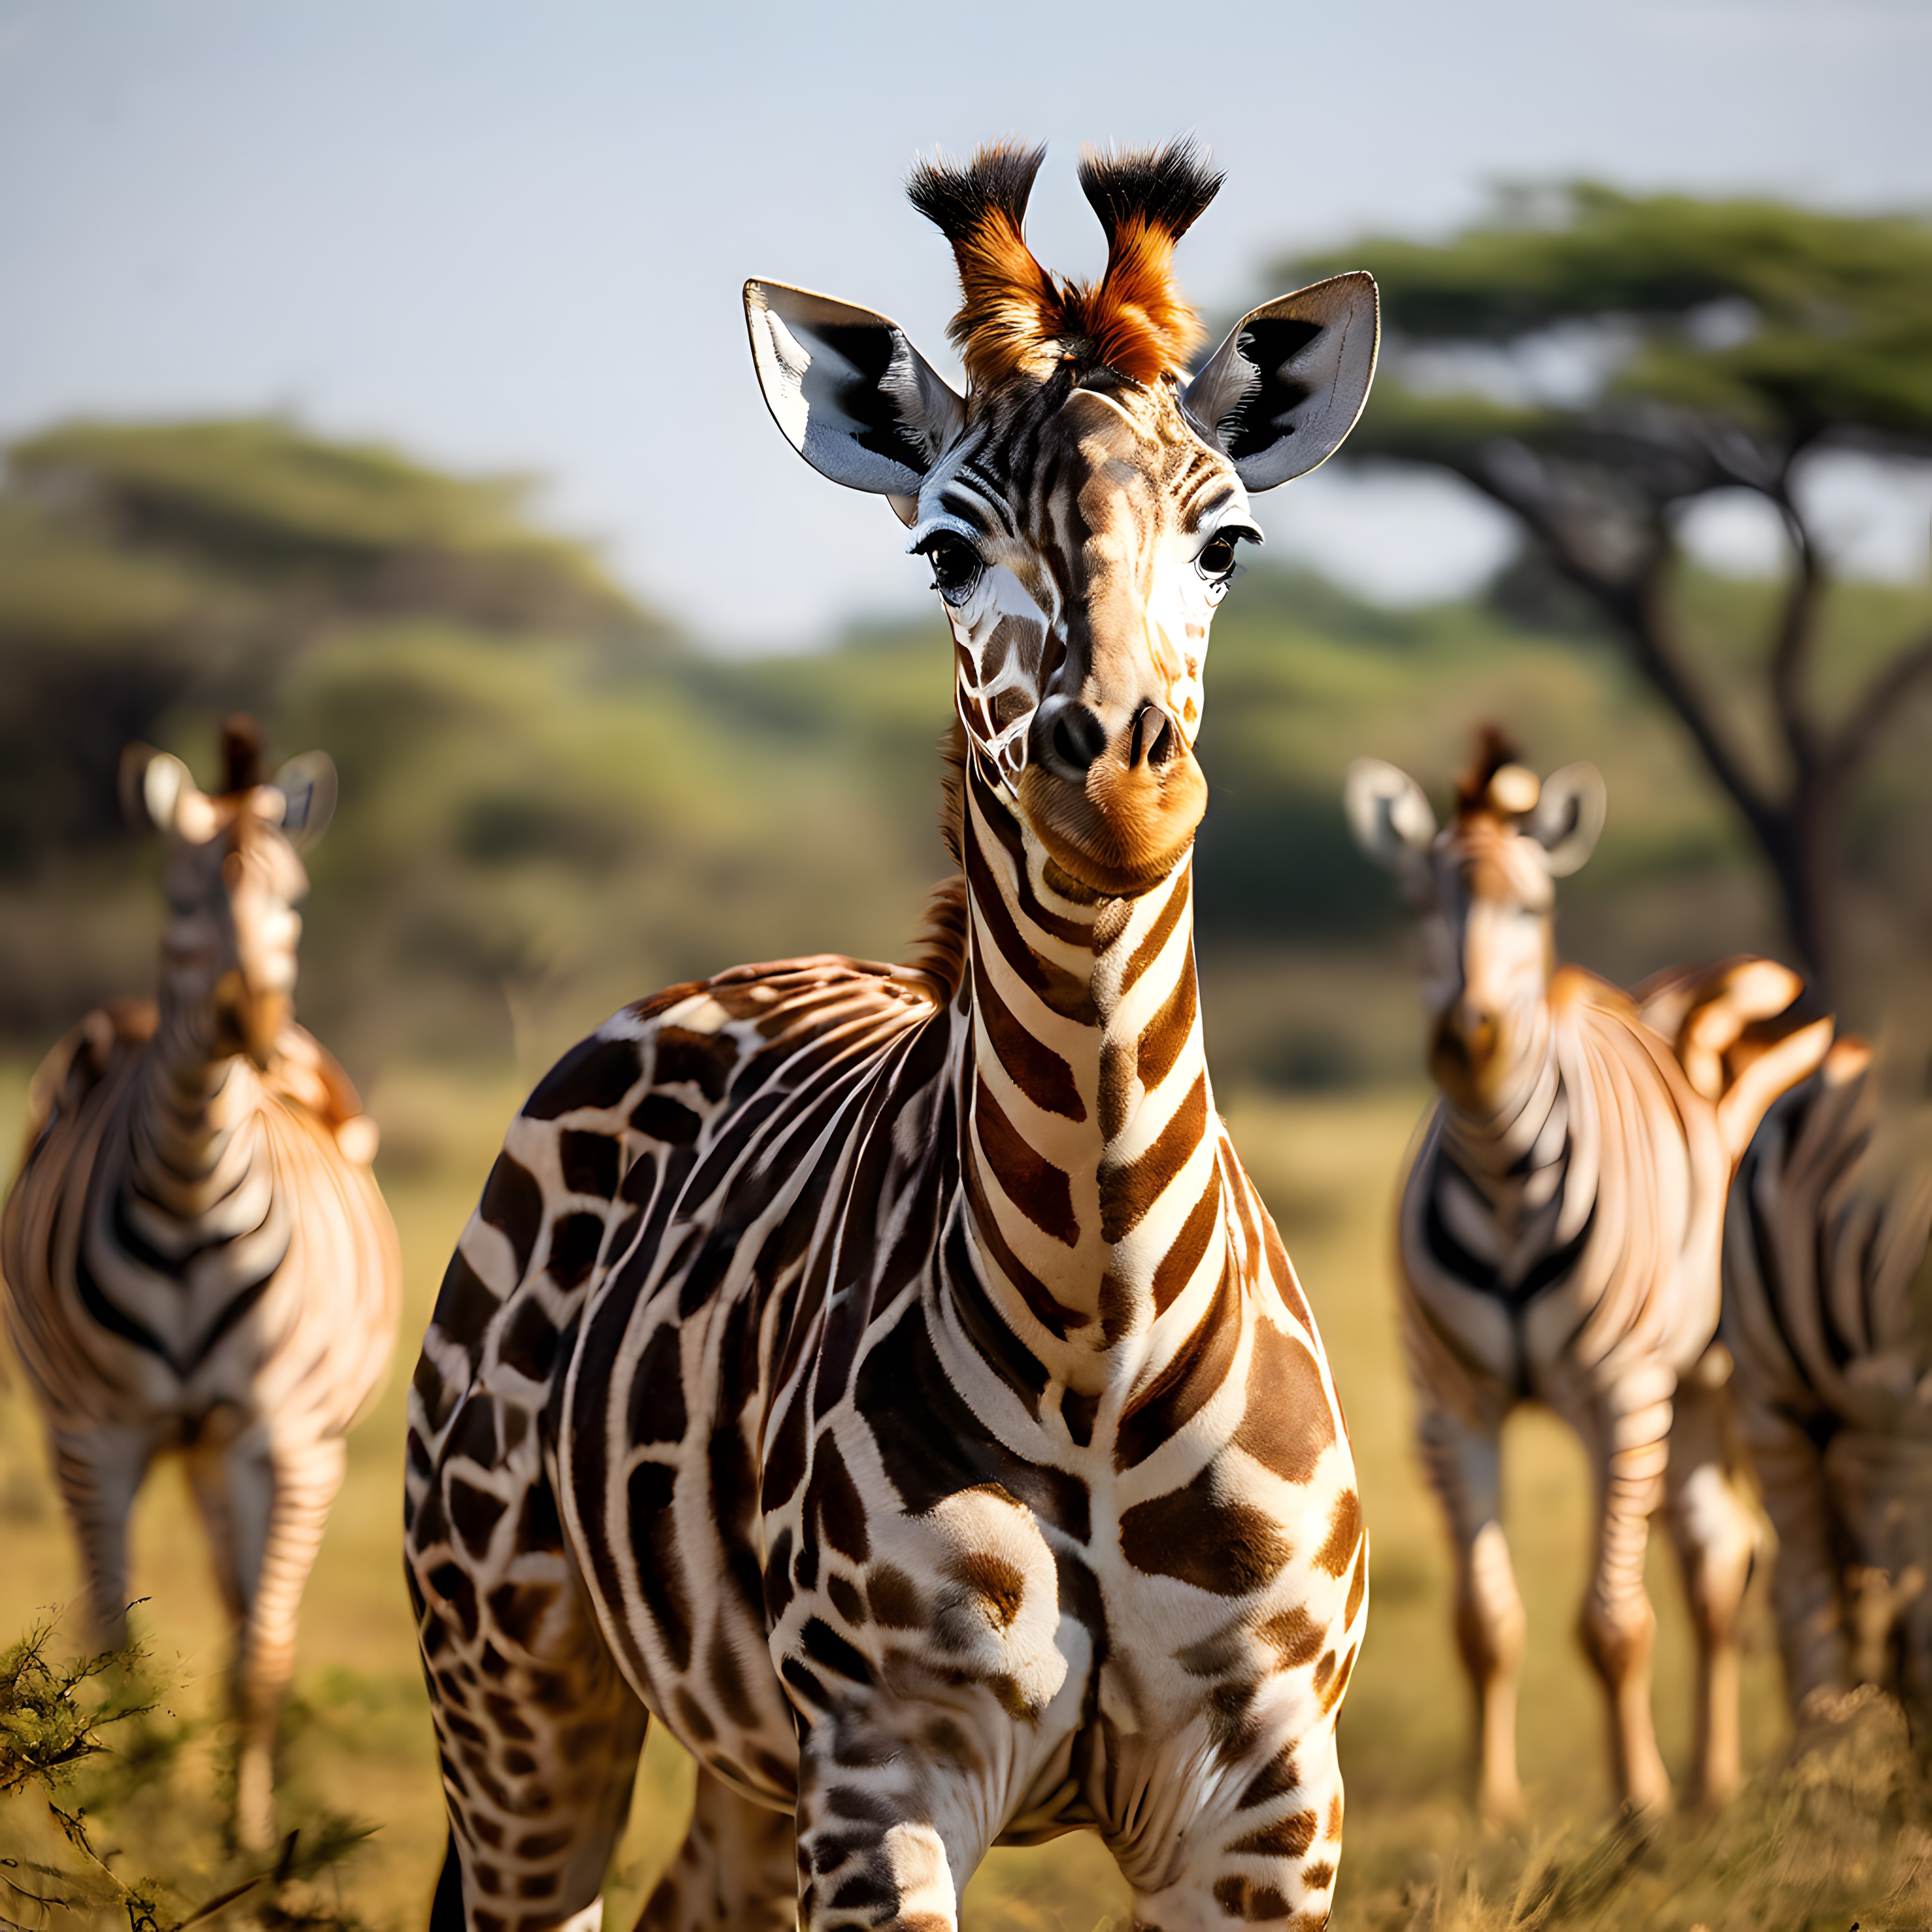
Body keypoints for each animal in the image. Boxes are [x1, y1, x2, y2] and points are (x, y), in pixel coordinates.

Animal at [2, 716, 401, 1850]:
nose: (246, 1017)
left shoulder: (291, 1441)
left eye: (292, 898)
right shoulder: (96, 1437)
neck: (189, 1186)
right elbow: (116, 1647)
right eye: (179, 897)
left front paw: (247, 1838)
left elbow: (261, 1657)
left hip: (240, 1448)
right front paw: (131, 1818)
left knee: (241, 1610)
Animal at [405, 139, 1380, 1932]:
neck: (1100, 1330)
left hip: (734, 1744)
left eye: (1227, 541)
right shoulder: (887, 1765)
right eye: (940, 552)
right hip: (516, 1677)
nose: (1114, 785)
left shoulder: (1269, 1792)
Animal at [1346, 731, 1832, 1819]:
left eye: (1532, 910)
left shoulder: (1618, 1392)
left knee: (1790, 1553)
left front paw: (1637, 1805)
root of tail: (1745, 970)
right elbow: (1483, 1621)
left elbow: (1613, 1623)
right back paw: (1718, 1783)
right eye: (1414, 906)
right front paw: (1494, 1810)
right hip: (1693, 1393)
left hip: (1759, 1368)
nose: (1469, 1039)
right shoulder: (1451, 1405)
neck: (1502, 1178)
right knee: (1723, 1558)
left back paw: (1811, 1754)